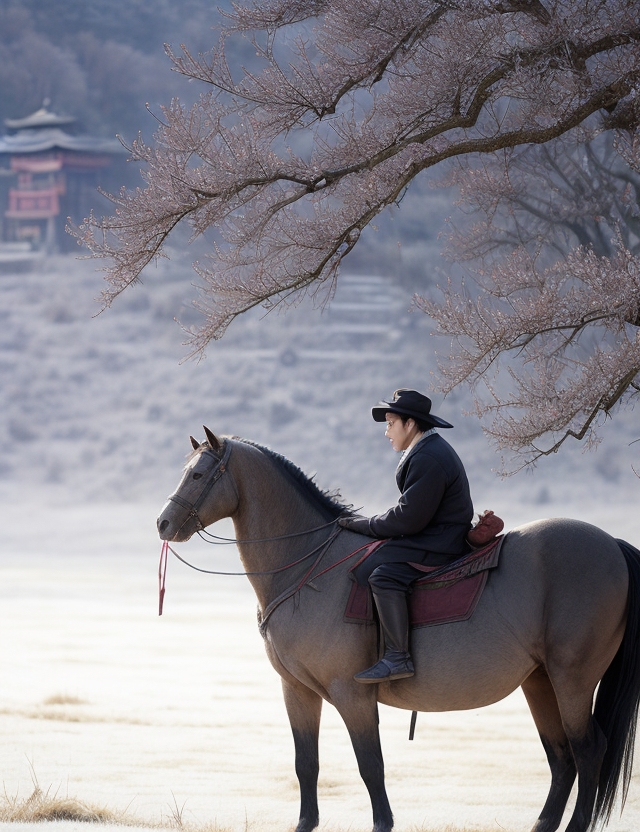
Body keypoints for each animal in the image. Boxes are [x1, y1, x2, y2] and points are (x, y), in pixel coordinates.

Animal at [156, 428, 640, 832]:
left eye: (198, 474)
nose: (162, 523)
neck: (305, 567)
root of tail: (612, 544)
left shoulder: (352, 694)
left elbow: (371, 765)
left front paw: (382, 823)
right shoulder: (298, 692)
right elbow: (306, 764)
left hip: (572, 679)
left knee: (587, 750)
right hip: (540, 681)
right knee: (561, 758)